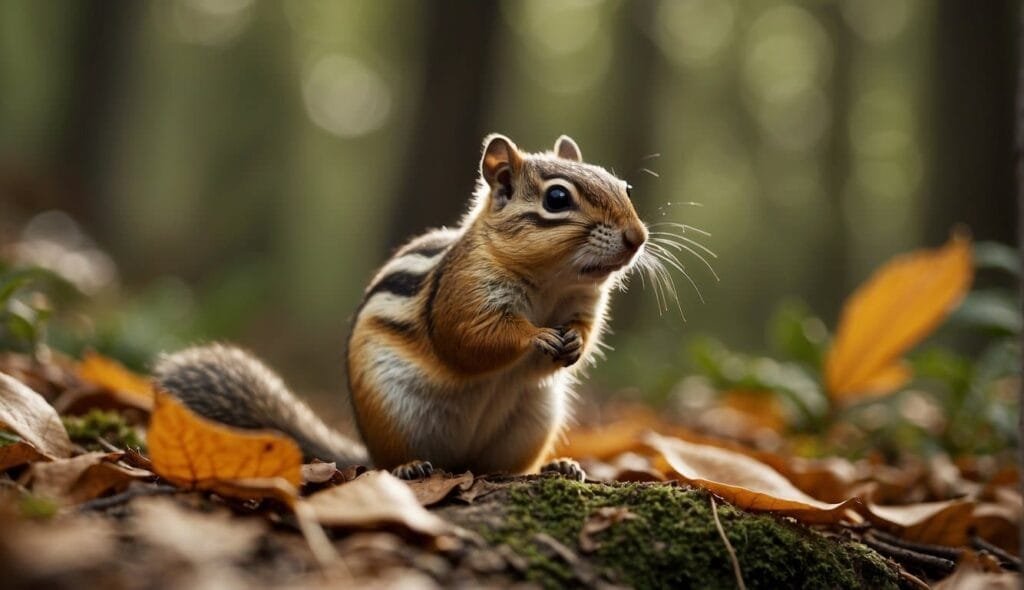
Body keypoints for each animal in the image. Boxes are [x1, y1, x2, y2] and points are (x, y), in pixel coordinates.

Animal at [154, 133, 649, 481]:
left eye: (625, 187)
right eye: (557, 199)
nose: (637, 237)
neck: (552, 285)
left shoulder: (583, 304)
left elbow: (583, 331)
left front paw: (574, 344)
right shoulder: (462, 296)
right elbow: (469, 339)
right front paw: (537, 336)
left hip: (532, 420)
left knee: (502, 468)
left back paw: (557, 466)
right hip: (394, 414)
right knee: (393, 461)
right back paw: (409, 466)